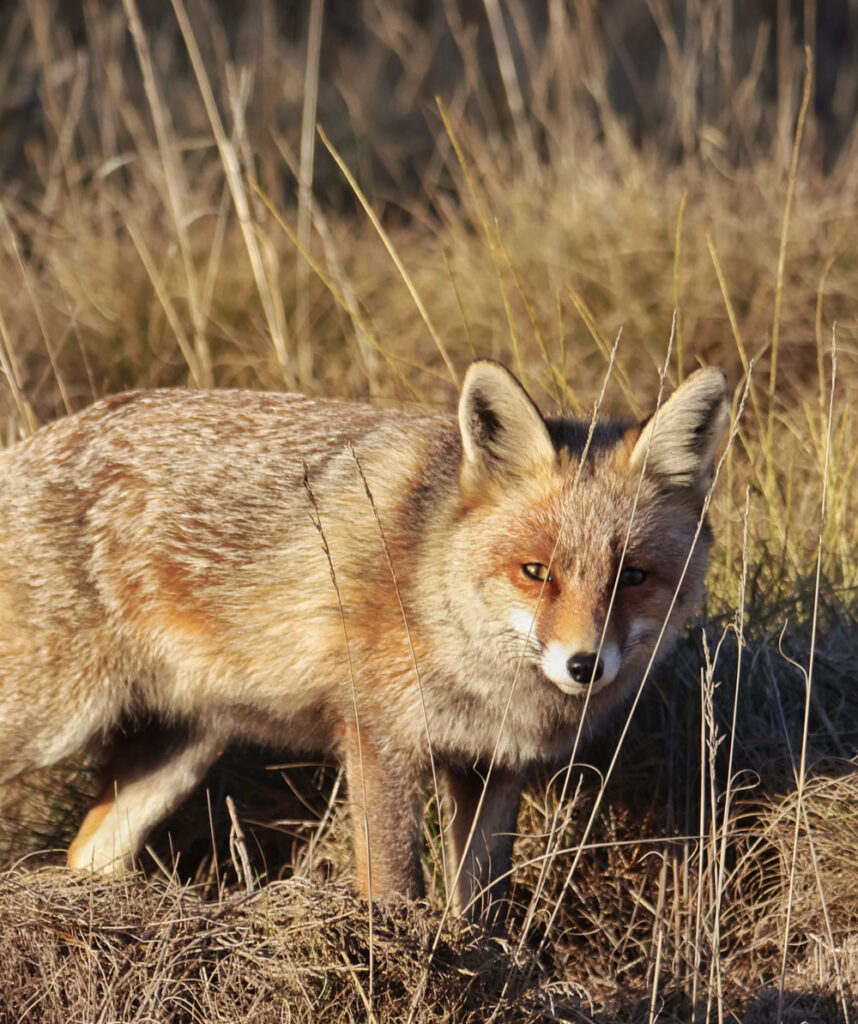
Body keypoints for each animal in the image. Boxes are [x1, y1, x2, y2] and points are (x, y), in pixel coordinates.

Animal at [0, 360, 728, 913]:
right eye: (536, 572)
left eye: (632, 576)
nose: (584, 665)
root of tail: (31, 444)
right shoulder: (380, 738)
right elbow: (395, 889)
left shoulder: (491, 767)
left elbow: (481, 906)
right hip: (55, 723)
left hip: (179, 750)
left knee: (88, 853)